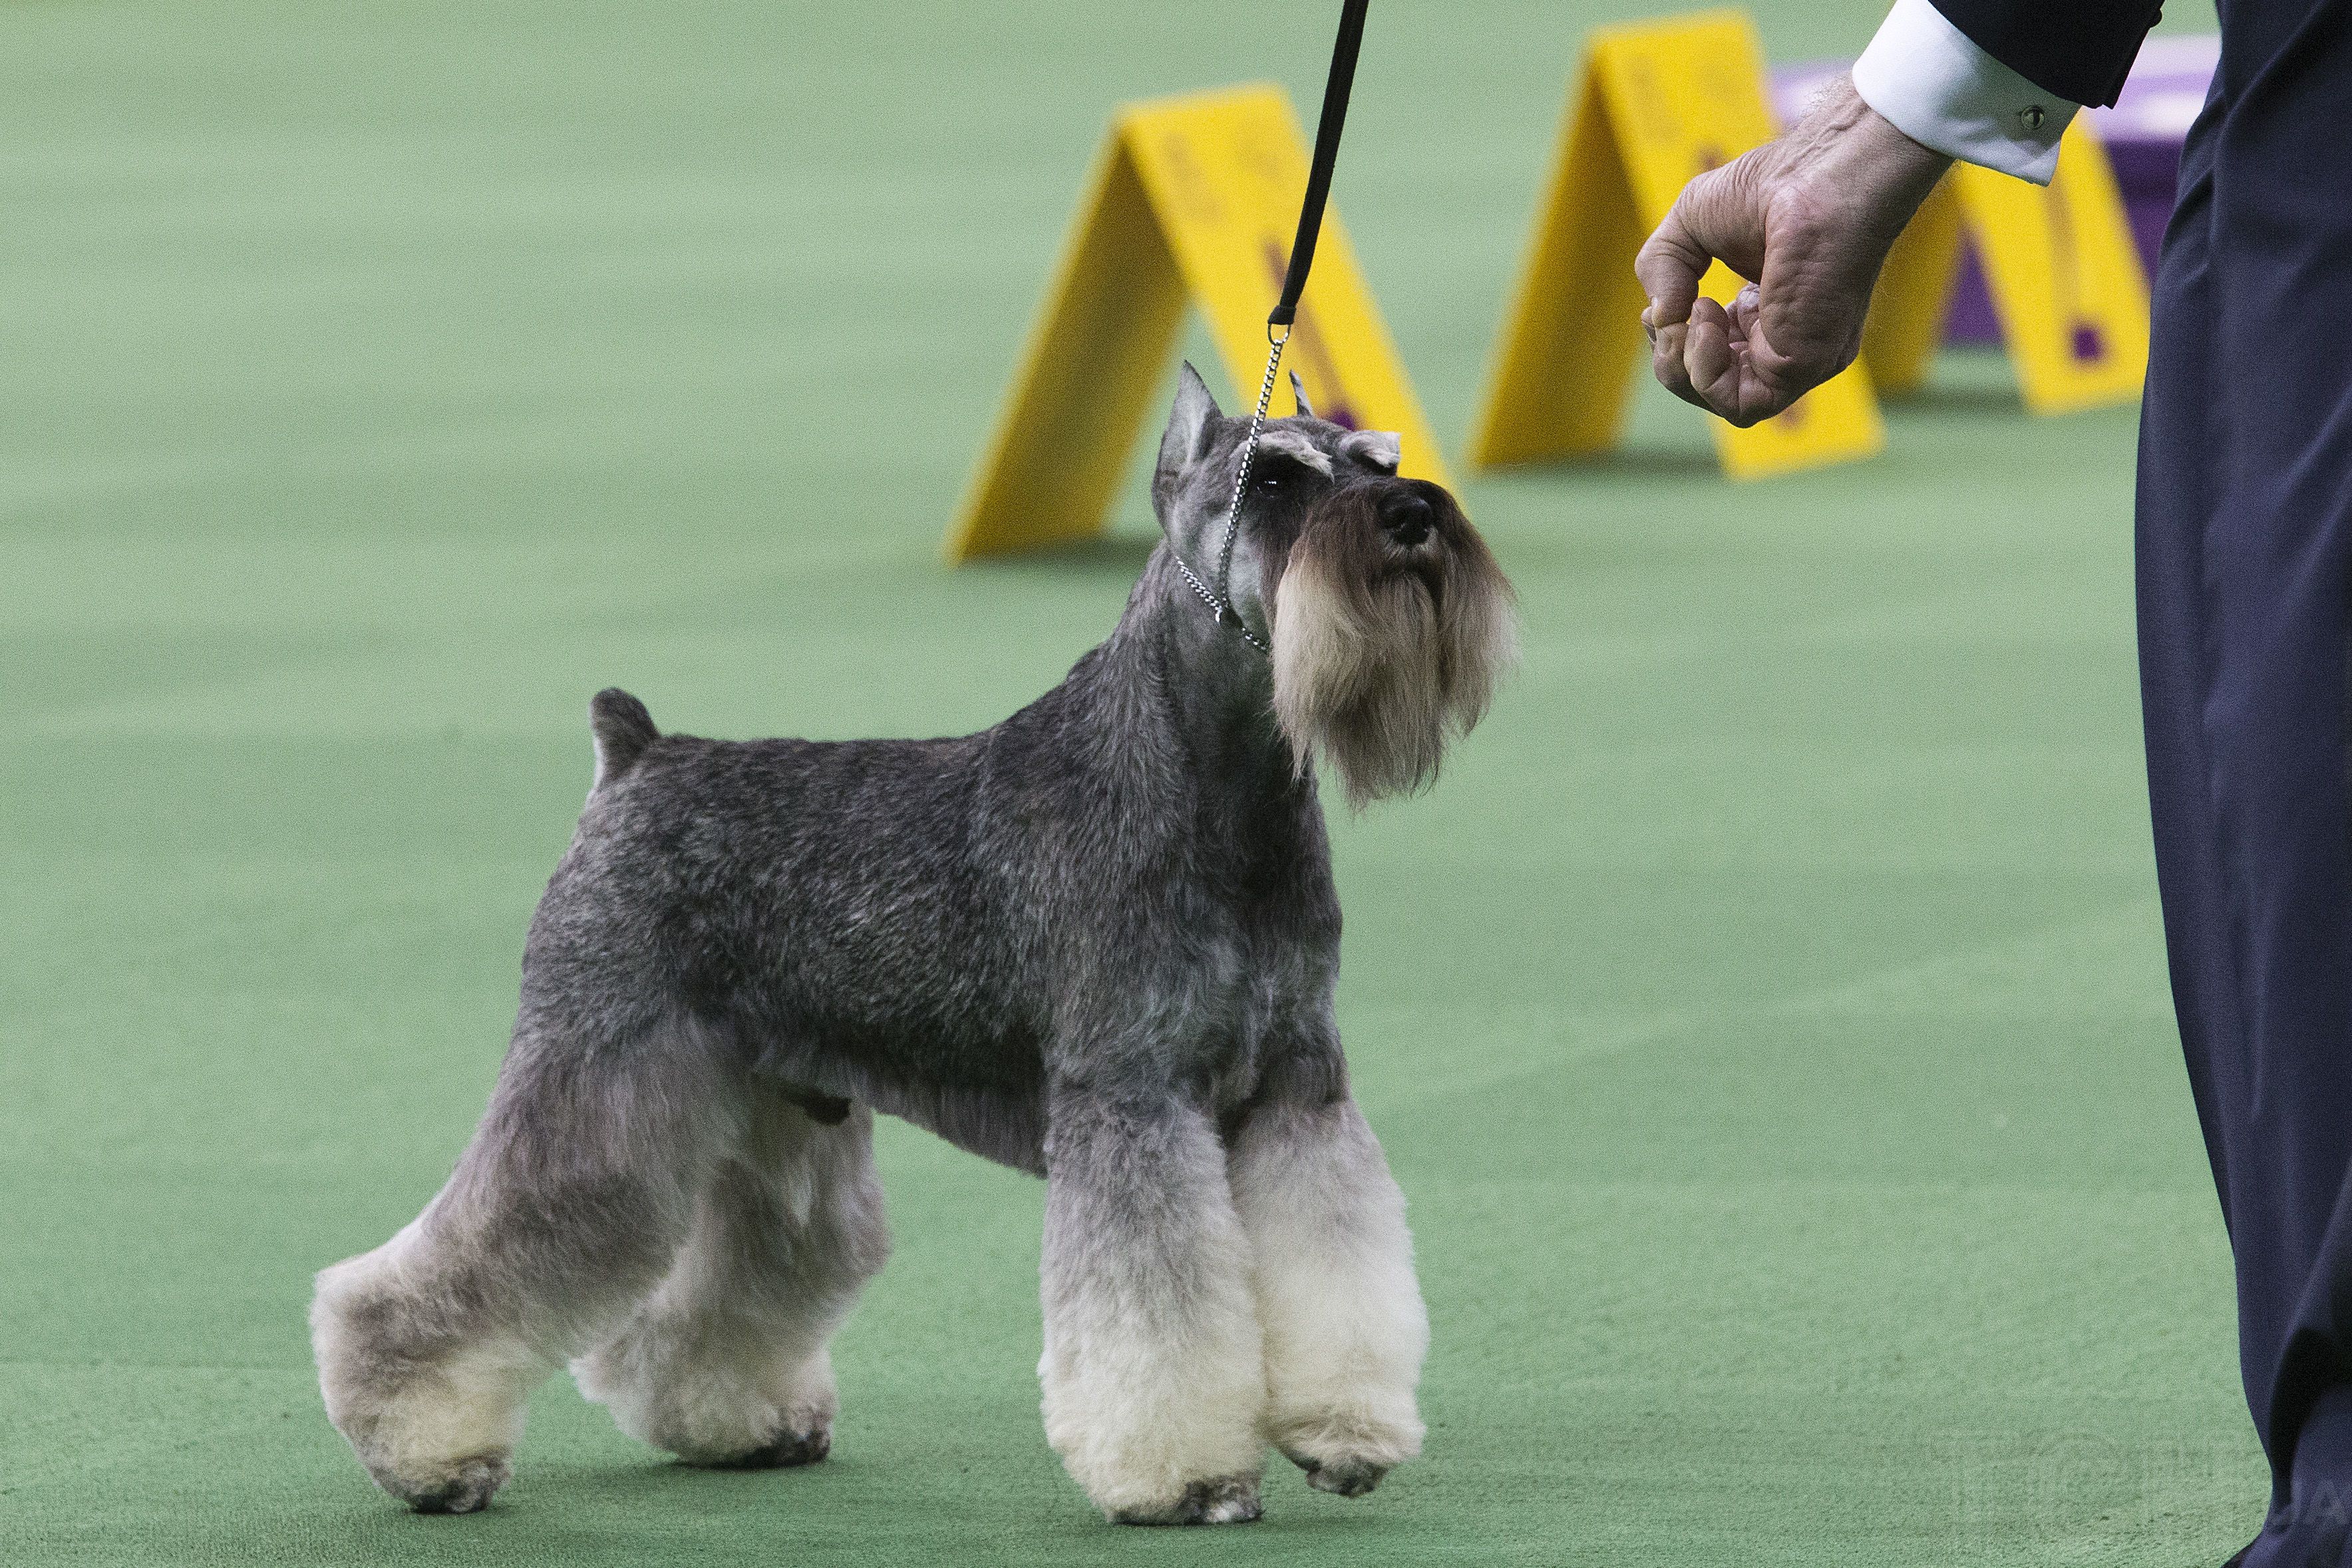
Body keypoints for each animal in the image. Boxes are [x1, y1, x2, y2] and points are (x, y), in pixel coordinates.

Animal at [313, 364, 1514, 1523]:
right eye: (1272, 477)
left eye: (1376, 460)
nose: (1412, 515)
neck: (1221, 784)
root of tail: (637, 754)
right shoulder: (1131, 1098)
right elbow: (1157, 1313)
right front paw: (1182, 1479)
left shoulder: (1297, 1090)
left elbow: (1333, 1266)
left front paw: (1344, 1429)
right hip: (596, 1093)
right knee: (447, 1268)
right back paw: (428, 1456)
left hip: (777, 1124)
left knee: (724, 1288)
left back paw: (738, 1422)